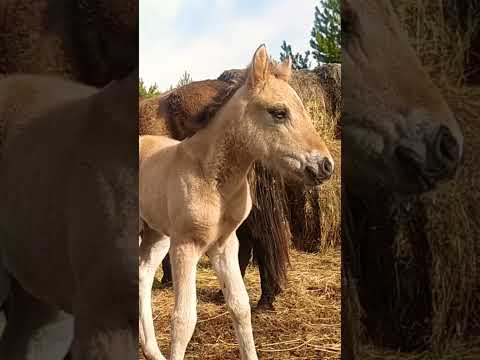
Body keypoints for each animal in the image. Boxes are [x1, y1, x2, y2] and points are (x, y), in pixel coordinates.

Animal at [139, 45, 334, 360]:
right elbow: (184, 319)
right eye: (278, 112)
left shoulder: (226, 244)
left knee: (143, 277)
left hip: (156, 235)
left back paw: (153, 351)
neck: (212, 178)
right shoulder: (186, 247)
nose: (326, 166)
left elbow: (240, 307)